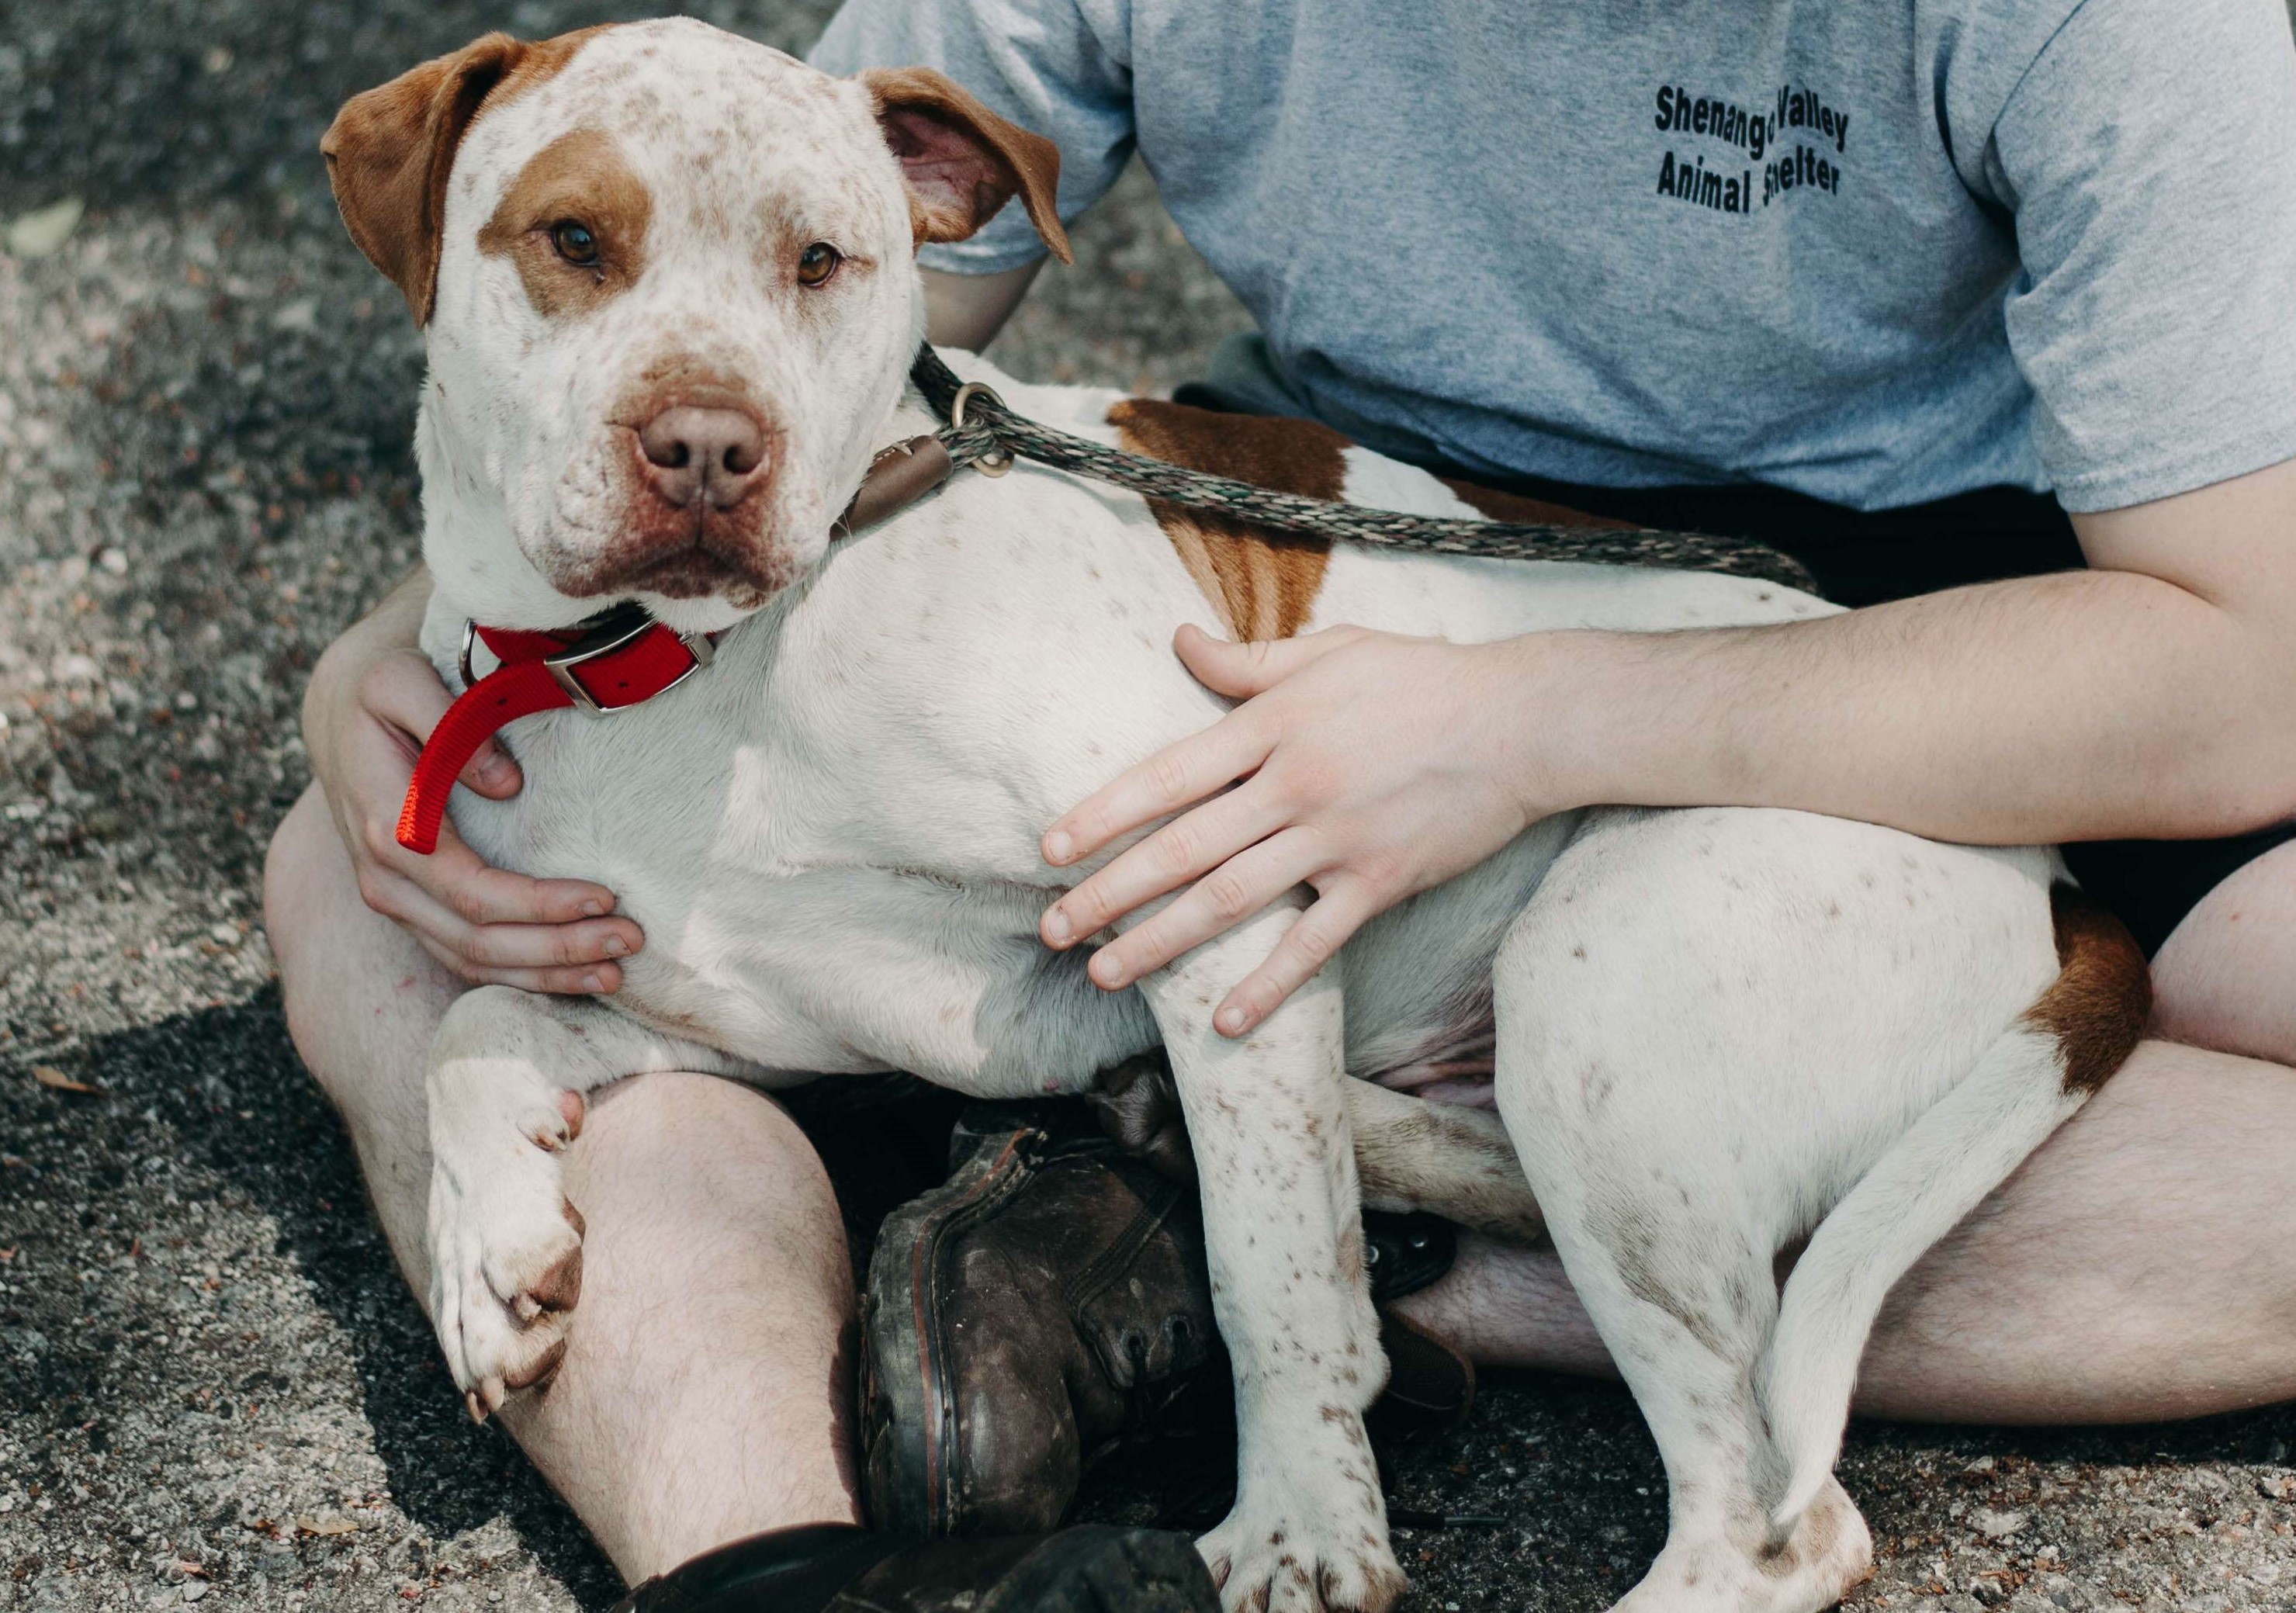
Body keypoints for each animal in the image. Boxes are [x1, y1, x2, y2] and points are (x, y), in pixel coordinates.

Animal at [324, 22, 2149, 1613]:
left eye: (822, 259)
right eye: (572, 237)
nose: (708, 446)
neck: (700, 668)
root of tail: (2064, 888)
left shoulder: (1220, 905)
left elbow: (1269, 1277)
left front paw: (1300, 1530)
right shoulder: (751, 1012)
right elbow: (476, 1023)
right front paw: (496, 1248)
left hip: (1604, 972)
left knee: (1773, 1521)